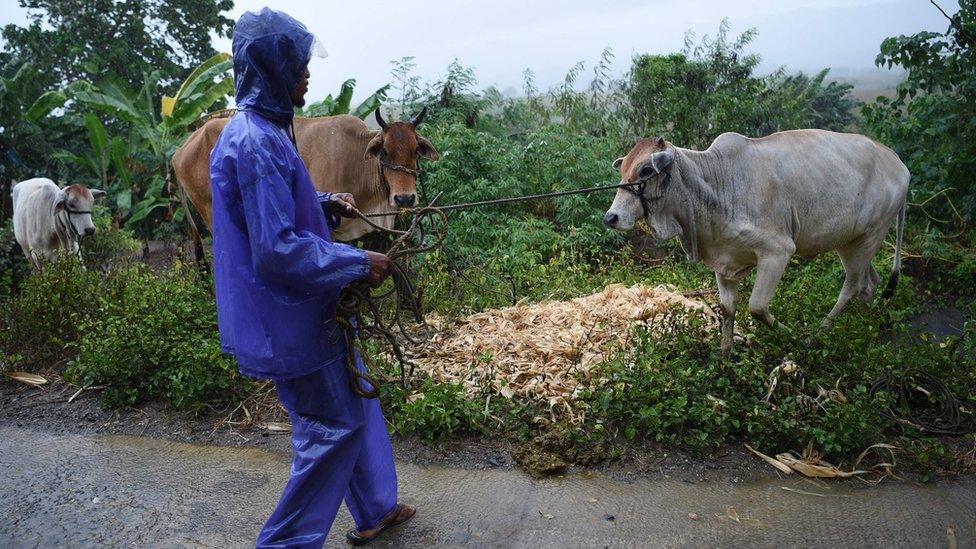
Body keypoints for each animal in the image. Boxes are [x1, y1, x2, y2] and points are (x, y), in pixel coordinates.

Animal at [608, 130, 912, 352]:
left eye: (646, 170)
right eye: (623, 170)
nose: (611, 217)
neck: (717, 183)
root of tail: (898, 163)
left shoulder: (777, 252)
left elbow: (756, 307)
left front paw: (789, 336)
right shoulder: (724, 262)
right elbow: (728, 309)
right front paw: (725, 356)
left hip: (869, 237)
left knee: (851, 286)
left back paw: (818, 334)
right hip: (853, 242)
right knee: (868, 284)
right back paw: (862, 327)